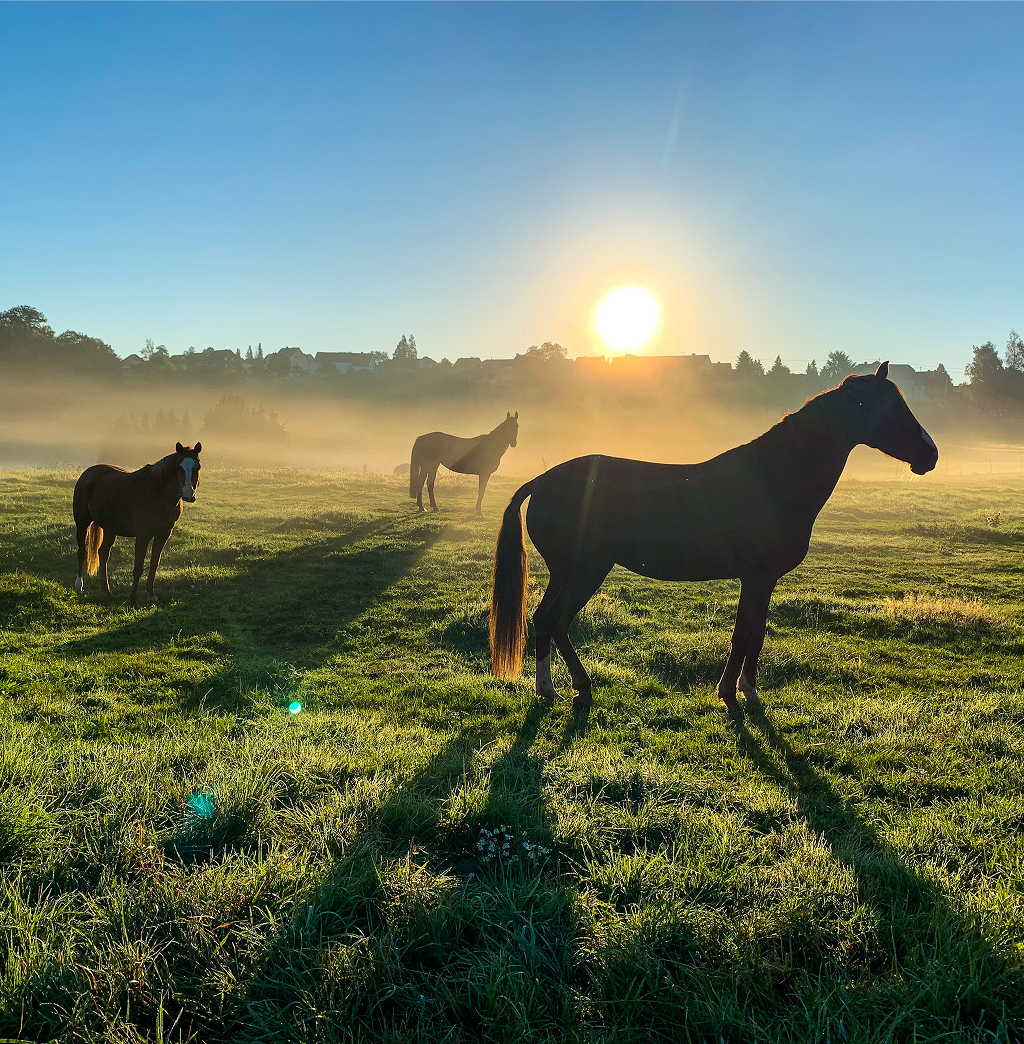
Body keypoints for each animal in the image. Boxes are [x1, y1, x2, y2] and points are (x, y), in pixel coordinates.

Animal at [73, 442, 202, 605]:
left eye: (197, 467)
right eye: (179, 467)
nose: (188, 493)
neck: (158, 494)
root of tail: (87, 474)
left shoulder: (163, 534)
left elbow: (154, 564)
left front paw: (151, 594)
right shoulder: (143, 535)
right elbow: (138, 567)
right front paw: (132, 599)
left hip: (110, 529)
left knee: (103, 554)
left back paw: (106, 590)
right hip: (82, 523)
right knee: (81, 553)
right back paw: (79, 587)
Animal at [489, 363, 938, 717]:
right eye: (891, 408)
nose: (931, 455)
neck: (772, 478)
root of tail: (542, 480)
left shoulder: (762, 581)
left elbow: (755, 633)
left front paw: (746, 690)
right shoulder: (756, 578)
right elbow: (744, 635)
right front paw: (734, 694)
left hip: (567, 573)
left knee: (545, 620)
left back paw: (555, 687)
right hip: (585, 572)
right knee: (555, 621)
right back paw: (572, 687)